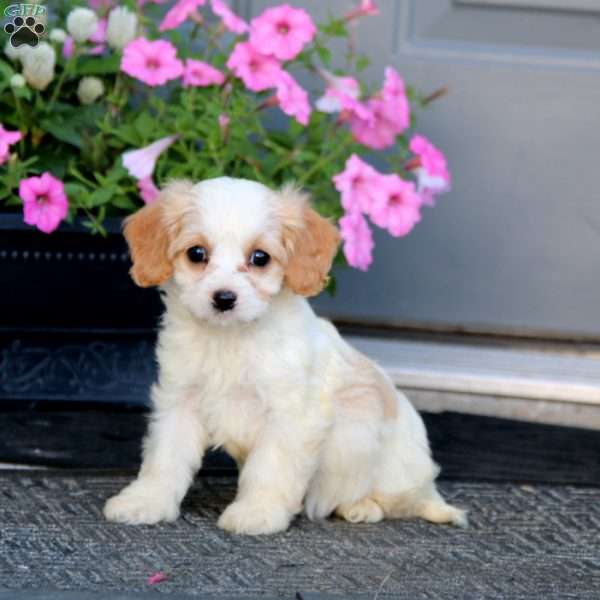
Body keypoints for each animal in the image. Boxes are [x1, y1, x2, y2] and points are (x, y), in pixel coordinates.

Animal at [104, 177, 468, 536]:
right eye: (197, 253)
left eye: (260, 258)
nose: (224, 298)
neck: (231, 338)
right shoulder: (179, 402)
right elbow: (164, 458)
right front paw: (145, 501)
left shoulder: (290, 416)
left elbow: (269, 467)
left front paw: (257, 512)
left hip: (384, 464)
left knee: (399, 501)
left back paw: (362, 507)